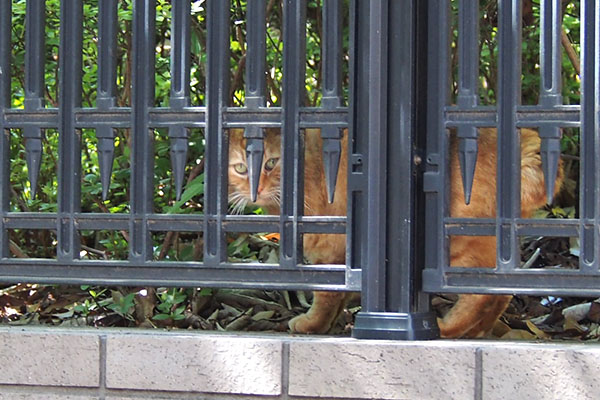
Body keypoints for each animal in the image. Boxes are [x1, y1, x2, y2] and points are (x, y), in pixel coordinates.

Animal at [227, 128, 560, 338]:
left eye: (270, 163)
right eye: (242, 168)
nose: (255, 189)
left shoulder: (330, 249)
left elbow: (326, 296)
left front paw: (312, 324)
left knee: (482, 294)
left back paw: (448, 328)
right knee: (500, 293)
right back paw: (477, 330)